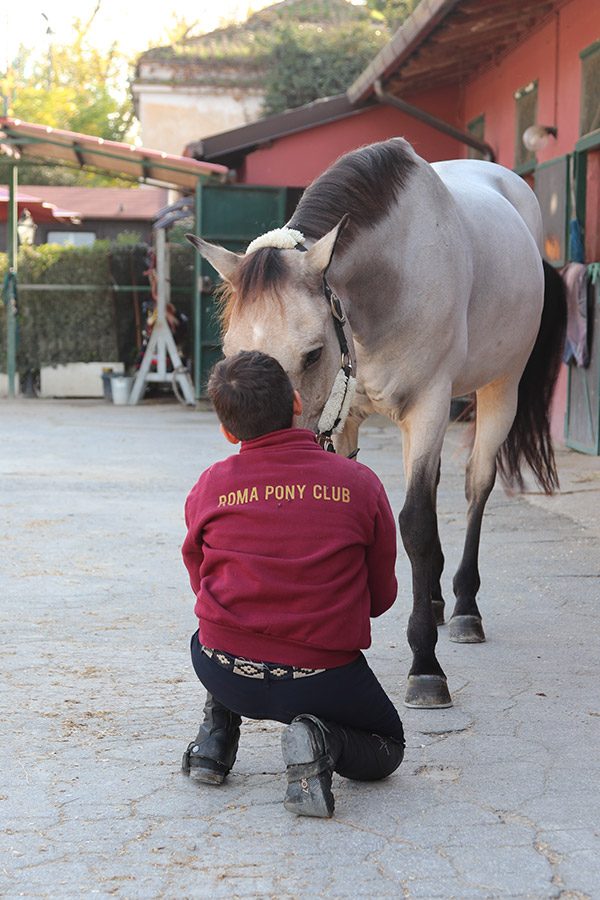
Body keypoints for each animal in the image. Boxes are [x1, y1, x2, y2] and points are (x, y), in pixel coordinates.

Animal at [185, 137, 564, 708]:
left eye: (313, 354)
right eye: (231, 353)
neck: (391, 278)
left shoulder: (429, 406)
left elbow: (416, 525)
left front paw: (425, 666)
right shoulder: (346, 418)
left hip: (502, 387)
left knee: (476, 485)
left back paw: (464, 608)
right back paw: (434, 601)